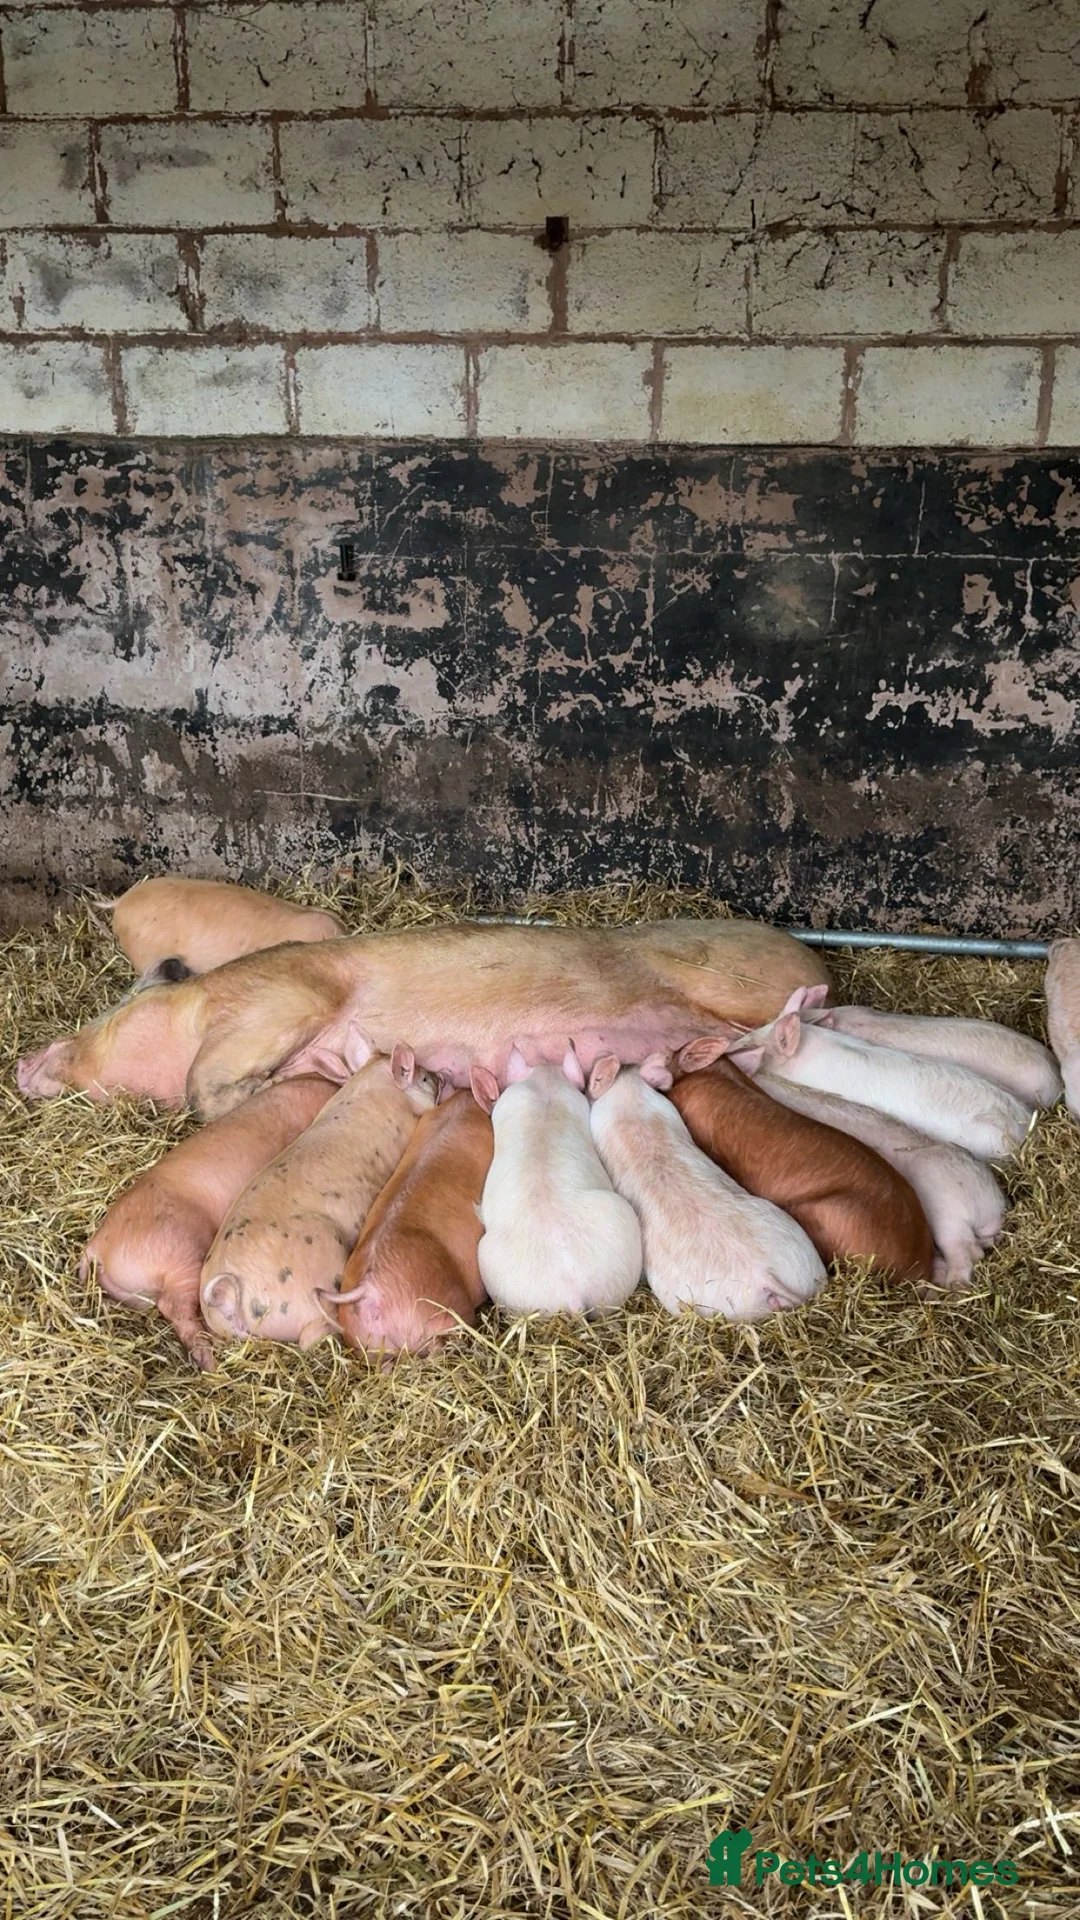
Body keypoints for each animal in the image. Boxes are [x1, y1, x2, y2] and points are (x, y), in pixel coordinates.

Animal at [17, 916, 830, 1121]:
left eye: (112, 1008)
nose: (25, 1061)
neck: (199, 1008)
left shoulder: (283, 995)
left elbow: (200, 1088)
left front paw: (307, 1072)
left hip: (736, 980)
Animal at [199, 1048, 436, 1349]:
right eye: (425, 1077)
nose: (441, 1077)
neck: (374, 1085)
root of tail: (230, 1299)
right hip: (322, 1257)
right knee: (308, 1336)